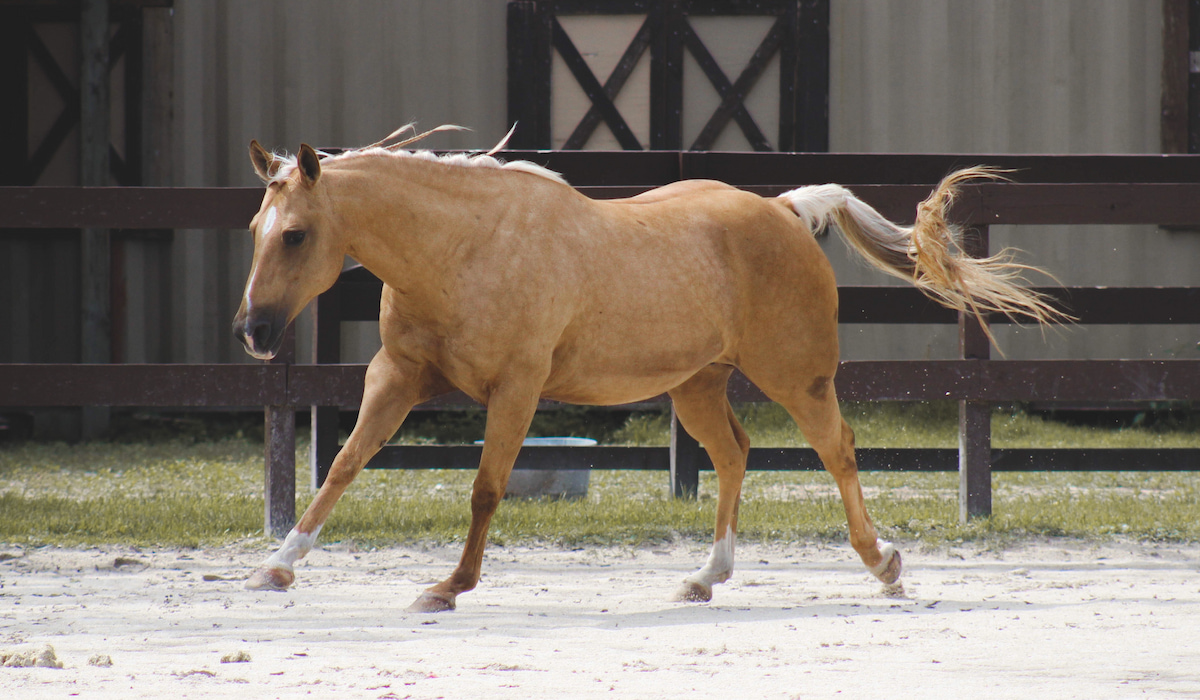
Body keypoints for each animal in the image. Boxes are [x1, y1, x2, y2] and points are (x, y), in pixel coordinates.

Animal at [233, 127, 1061, 612]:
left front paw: (448, 587)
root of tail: (784, 210)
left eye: (297, 235)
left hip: (796, 377)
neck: (464, 246)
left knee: (838, 450)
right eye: (255, 228)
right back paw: (706, 576)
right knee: (734, 453)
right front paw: (277, 565)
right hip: (696, 384)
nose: (253, 332)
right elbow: (342, 465)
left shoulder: (516, 389)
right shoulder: (396, 377)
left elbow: (485, 489)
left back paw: (883, 564)